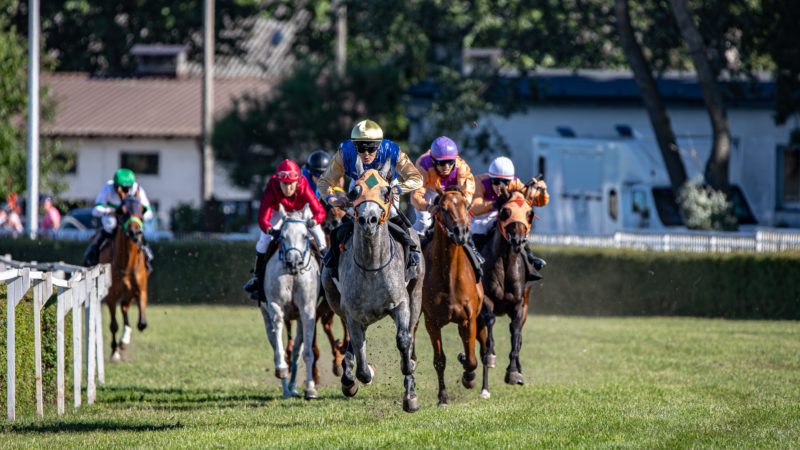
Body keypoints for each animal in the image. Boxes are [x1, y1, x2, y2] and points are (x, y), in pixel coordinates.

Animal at [101, 195, 150, 363]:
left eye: (142, 210)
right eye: (121, 211)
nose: (135, 232)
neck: (126, 264)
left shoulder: (140, 290)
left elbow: (142, 323)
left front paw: (124, 341)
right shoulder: (110, 296)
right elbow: (113, 325)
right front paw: (114, 352)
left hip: (128, 294)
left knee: (124, 308)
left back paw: (124, 339)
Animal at [258, 204, 320, 400]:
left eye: (305, 235)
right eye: (282, 236)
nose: (293, 262)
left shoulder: (307, 310)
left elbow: (307, 352)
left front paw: (310, 388)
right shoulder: (274, 306)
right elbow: (278, 335)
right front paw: (281, 369)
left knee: (297, 350)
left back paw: (292, 387)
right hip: (266, 314)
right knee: (275, 341)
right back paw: (286, 388)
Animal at [321, 167, 424, 412]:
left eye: (386, 192)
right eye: (353, 192)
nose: (369, 220)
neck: (372, 265)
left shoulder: (400, 303)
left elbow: (404, 340)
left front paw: (410, 387)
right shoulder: (353, 314)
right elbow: (360, 361)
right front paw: (359, 375)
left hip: (416, 294)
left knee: (410, 333)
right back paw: (348, 378)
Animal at [419, 186, 488, 406]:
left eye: (465, 205)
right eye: (443, 207)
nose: (461, 232)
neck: (449, 275)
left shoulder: (469, 320)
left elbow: (472, 360)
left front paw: (469, 376)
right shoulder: (431, 322)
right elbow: (439, 360)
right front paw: (443, 397)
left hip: (479, 319)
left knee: (484, 350)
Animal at [477, 190, 535, 394]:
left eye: (530, 213)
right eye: (505, 212)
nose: (518, 241)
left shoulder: (519, 304)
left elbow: (516, 333)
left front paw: (513, 372)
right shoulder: (485, 300)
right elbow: (490, 325)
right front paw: (490, 355)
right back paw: (484, 387)